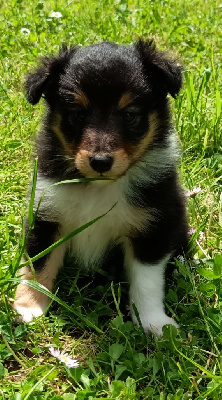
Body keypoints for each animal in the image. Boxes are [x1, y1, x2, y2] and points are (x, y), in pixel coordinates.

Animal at [13, 39, 187, 334]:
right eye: (77, 114)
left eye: (129, 115)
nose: (101, 162)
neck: (99, 186)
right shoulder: (46, 212)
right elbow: (38, 264)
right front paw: (29, 307)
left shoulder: (154, 225)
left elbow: (147, 280)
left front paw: (153, 322)